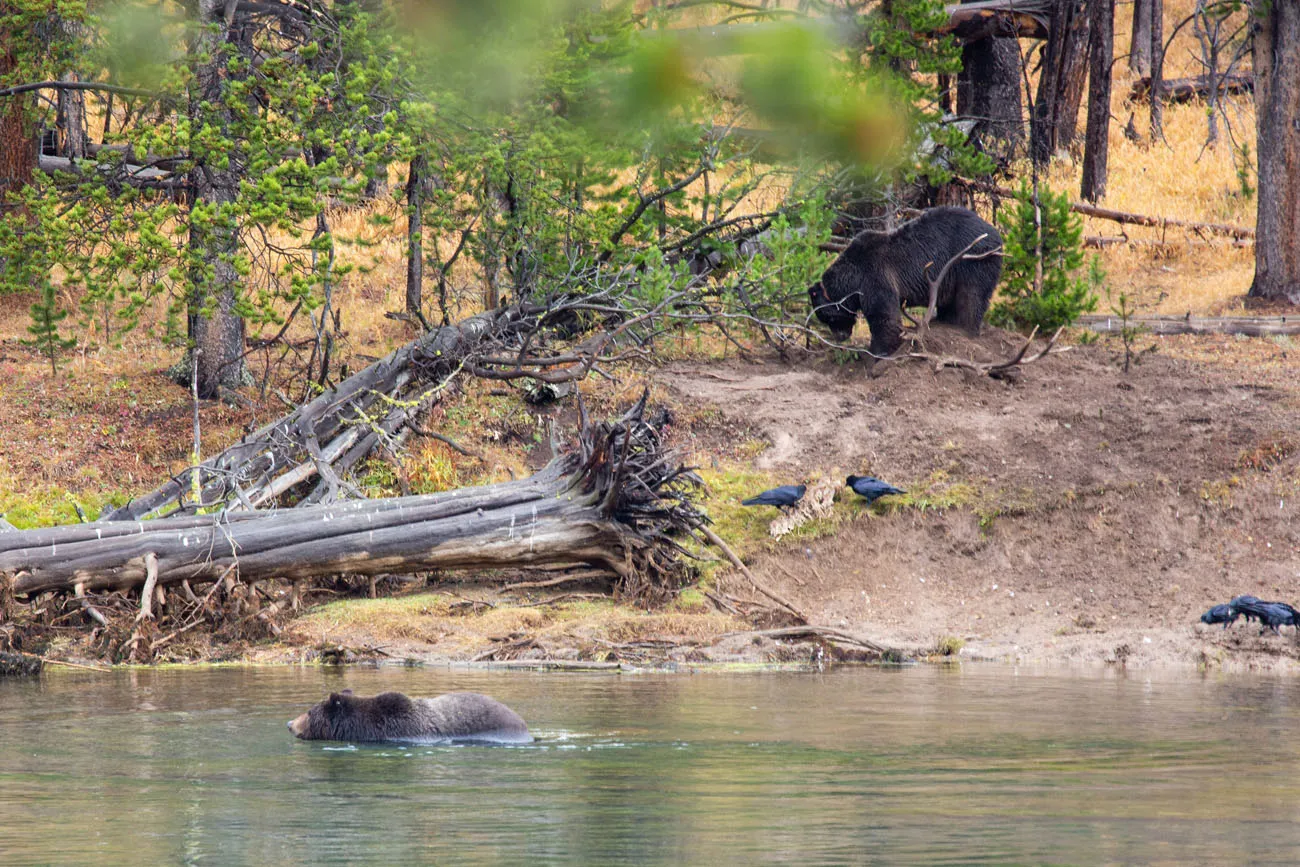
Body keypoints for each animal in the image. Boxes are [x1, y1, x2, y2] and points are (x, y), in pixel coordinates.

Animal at [800, 206, 1003, 356]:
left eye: (828, 317)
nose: (840, 337)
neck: (852, 279)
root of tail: (997, 234)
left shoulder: (875, 276)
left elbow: (884, 315)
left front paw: (879, 351)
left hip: (973, 261)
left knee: (971, 297)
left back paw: (966, 329)